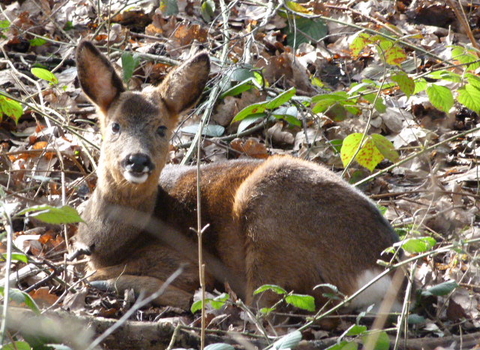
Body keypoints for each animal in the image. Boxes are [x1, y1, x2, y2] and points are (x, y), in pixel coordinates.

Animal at [72, 40, 402, 312]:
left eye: (162, 129)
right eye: (115, 126)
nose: (137, 159)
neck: (112, 242)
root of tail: (387, 273)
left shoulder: (181, 259)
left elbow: (98, 272)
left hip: (267, 213)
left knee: (258, 307)